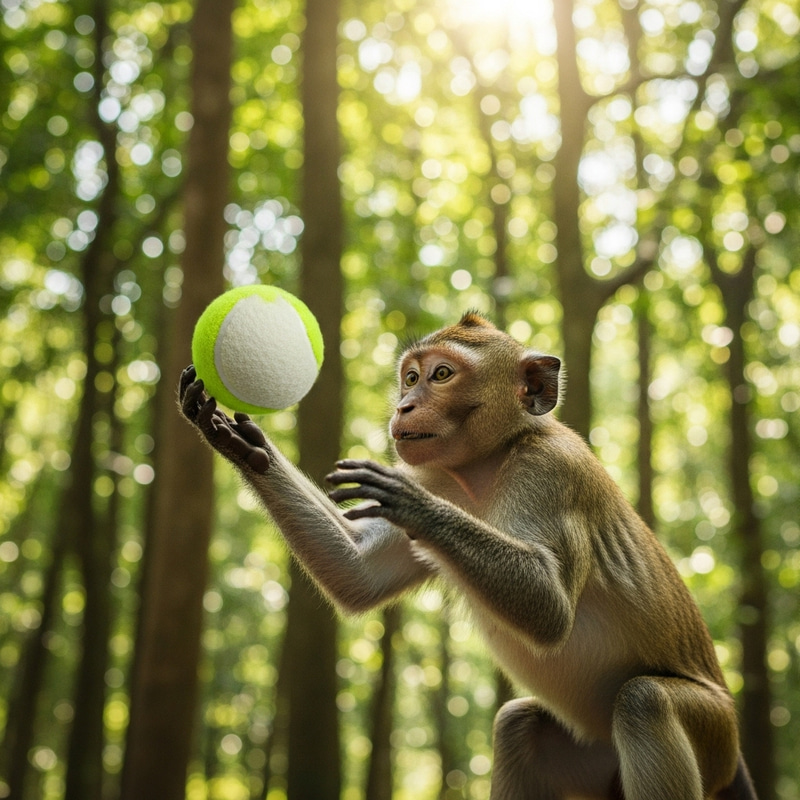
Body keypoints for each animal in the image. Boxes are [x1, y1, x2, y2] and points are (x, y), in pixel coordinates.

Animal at [179, 312, 757, 800]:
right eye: (410, 377)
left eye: (441, 375)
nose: (404, 406)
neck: (484, 465)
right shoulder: (437, 472)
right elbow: (358, 576)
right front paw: (240, 442)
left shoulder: (551, 471)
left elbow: (550, 609)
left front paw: (408, 501)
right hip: (594, 764)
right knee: (520, 726)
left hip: (713, 735)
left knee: (644, 702)